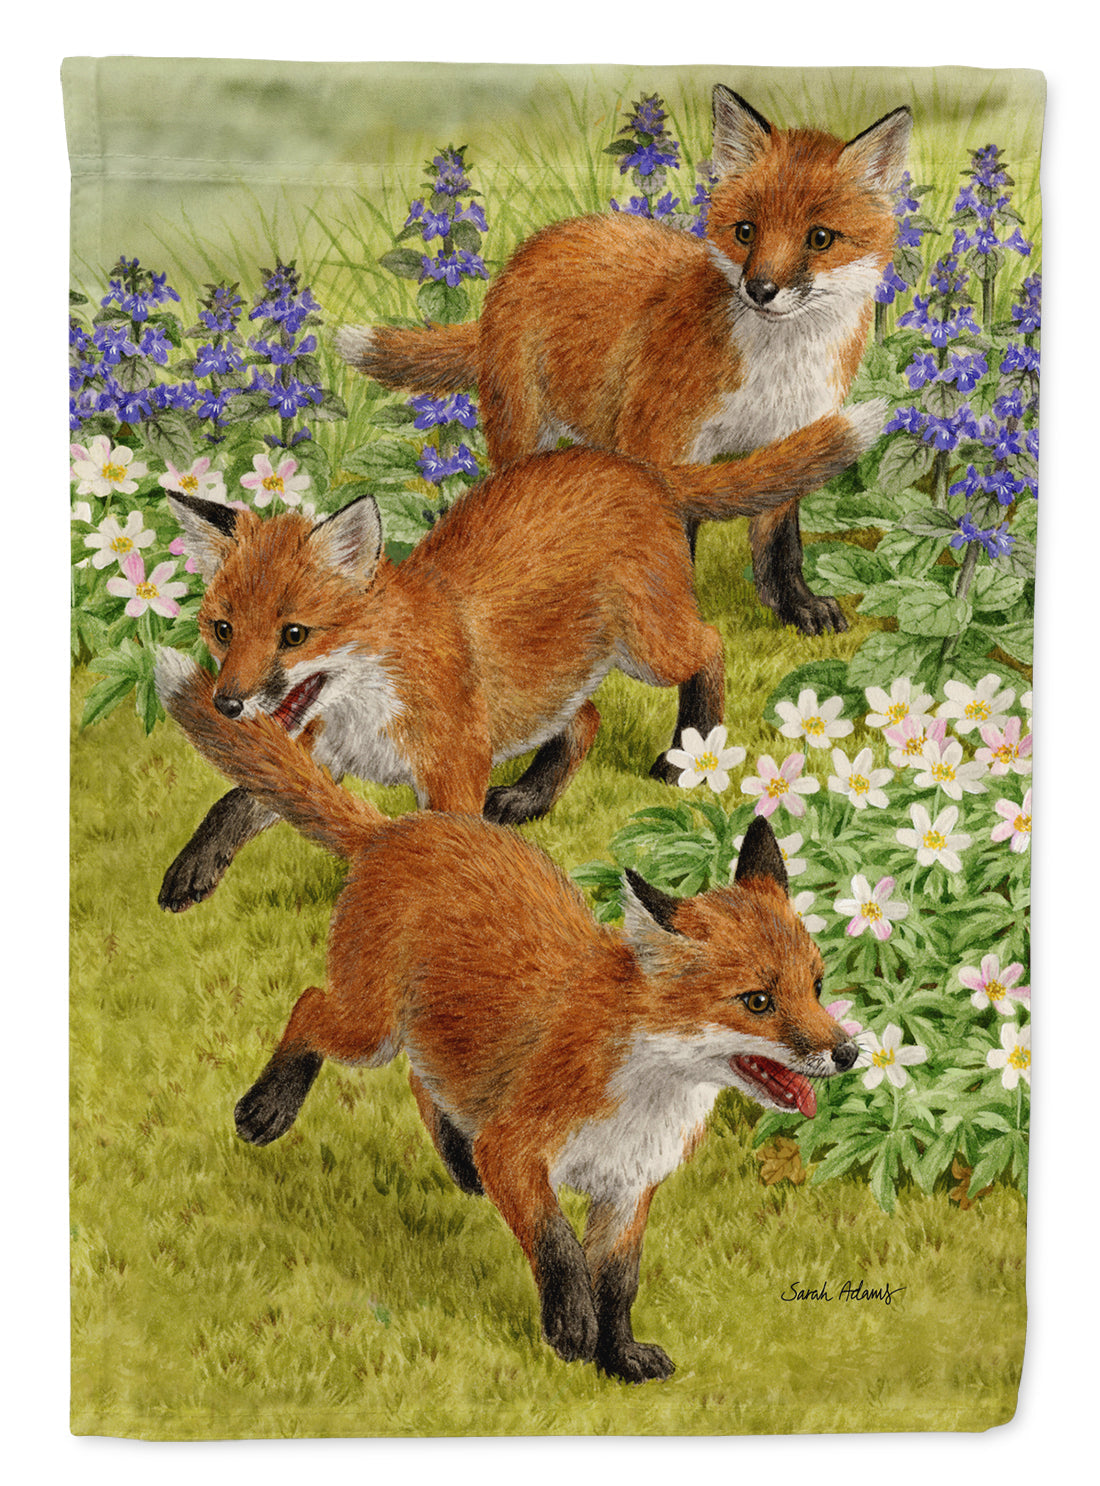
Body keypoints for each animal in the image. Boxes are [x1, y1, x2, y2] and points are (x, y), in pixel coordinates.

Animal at [154, 649, 860, 1381]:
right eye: (758, 1002)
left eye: (817, 985)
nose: (848, 1051)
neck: (649, 1090)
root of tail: (402, 829)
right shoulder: (518, 1151)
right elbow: (557, 1244)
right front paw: (571, 1327)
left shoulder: (628, 1189)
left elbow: (620, 1283)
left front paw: (619, 1354)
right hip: (369, 1031)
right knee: (311, 1008)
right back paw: (267, 1107)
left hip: (427, 1033)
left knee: (424, 1079)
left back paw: (455, 1162)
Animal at [158, 420, 882, 912]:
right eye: (222, 630)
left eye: (294, 635)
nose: (226, 703)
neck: (365, 704)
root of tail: (634, 467)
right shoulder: (326, 754)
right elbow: (239, 800)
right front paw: (193, 869)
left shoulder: (453, 767)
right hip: (556, 682)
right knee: (586, 719)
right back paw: (533, 795)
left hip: (648, 647)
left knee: (709, 647)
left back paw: (689, 747)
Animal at [336, 85, 911, 637]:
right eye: (745, 232)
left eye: (820, 239)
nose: (761, 289)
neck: (776, 368)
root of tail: (534, 245)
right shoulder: (656, 441)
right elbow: (672, 543)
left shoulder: (792, 438)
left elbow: (780, 550)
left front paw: (797, 609)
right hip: (524, 428)